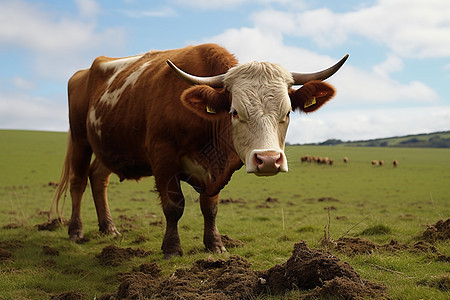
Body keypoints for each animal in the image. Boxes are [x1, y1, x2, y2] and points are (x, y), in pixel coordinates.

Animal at [51, 43, 348, 258]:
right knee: (78, 182)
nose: (267, 160)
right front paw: (172, 249)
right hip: (80, 140)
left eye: (286, 113)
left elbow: (210, 207)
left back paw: (109, 228)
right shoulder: (163, 157)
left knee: (98, 178)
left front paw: (215, 245)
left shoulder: (213, 173)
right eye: (234, 112)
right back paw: (76, 231)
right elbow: (174, 206)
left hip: (109, 147)